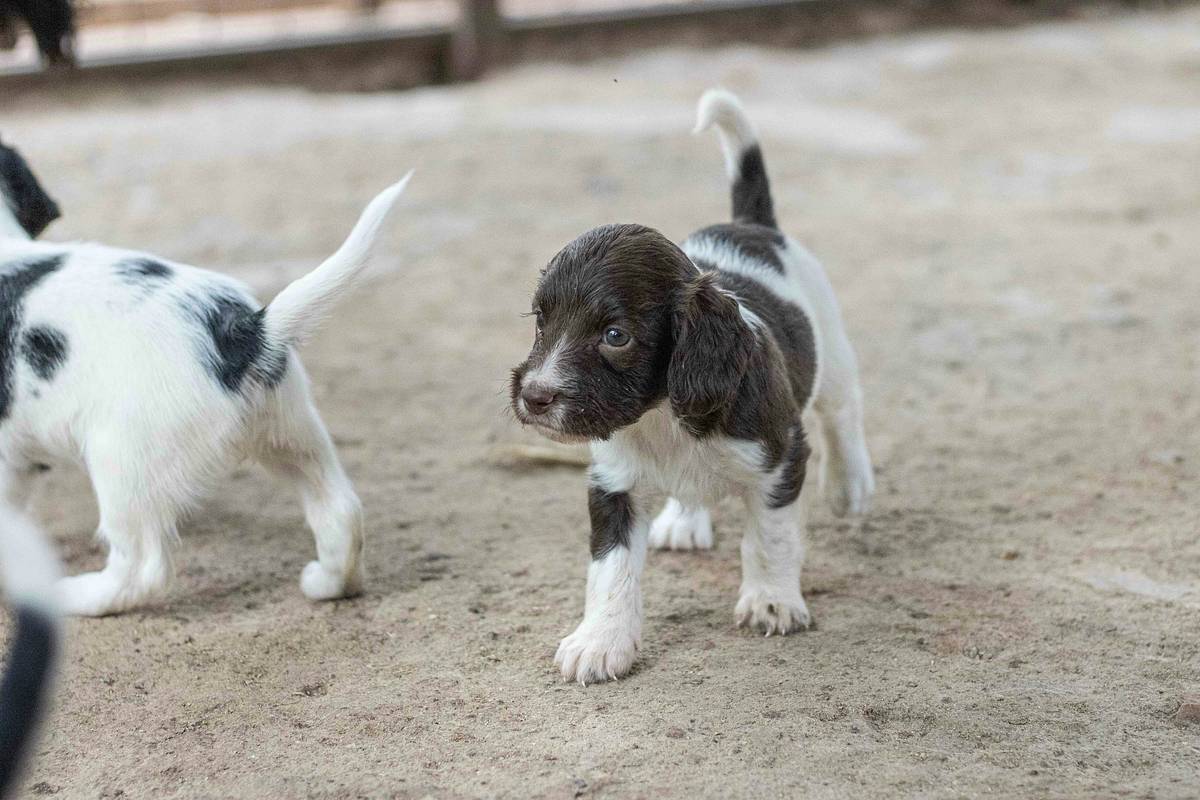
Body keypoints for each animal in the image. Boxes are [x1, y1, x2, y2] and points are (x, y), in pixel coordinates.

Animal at [0, 137, 410, 618]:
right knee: (340, 513)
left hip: (121, 465)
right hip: (293, 436)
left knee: (142, 569)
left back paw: (73, 595)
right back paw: (327, 583)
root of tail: (246, 330)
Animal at [511, 90, 878, 686]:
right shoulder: (612, 484)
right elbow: (610, 571)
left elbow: (771, 538)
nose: (536, 397)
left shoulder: (781, 456)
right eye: (542, 321)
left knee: (843, 410)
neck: (662, 415)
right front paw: (601, 640)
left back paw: (851, 483)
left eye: (615, 336)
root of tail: (748, 224)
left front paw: (772, 600)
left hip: (832, 348)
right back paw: (683, 519)